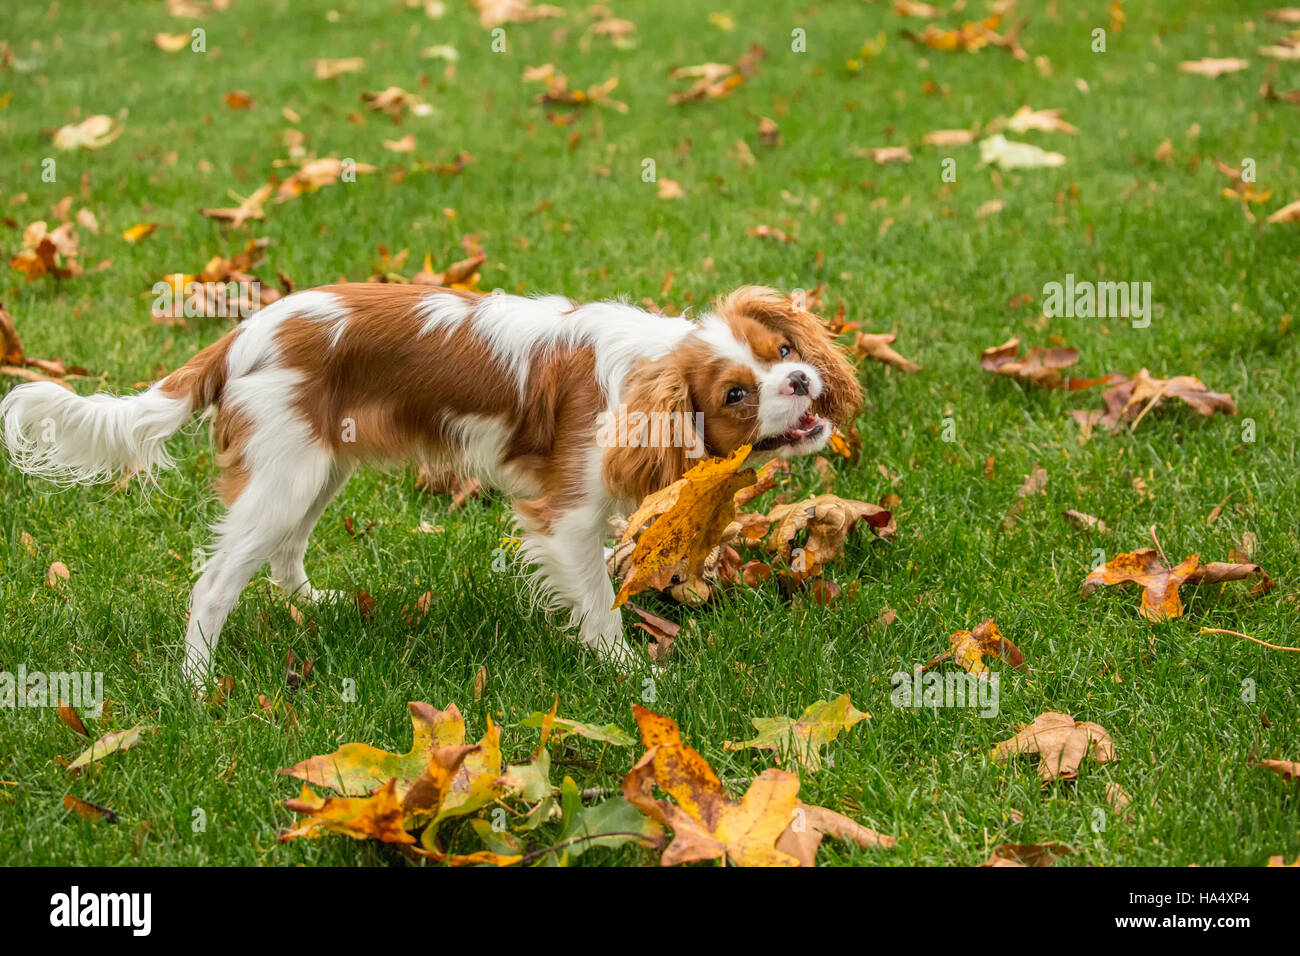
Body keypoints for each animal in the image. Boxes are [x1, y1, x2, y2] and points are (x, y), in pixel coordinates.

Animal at [5, 283, 868, 681]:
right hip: (285, 475)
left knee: (286, 554)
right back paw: (192, 685)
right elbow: (595, 602)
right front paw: (625, 669)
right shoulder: (562, 515)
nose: (799, 380)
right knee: (213, 585)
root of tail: (240, 335)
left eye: (782, 348)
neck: (641, 380)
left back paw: (316, 604)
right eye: (736, 394)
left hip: (318, 470)